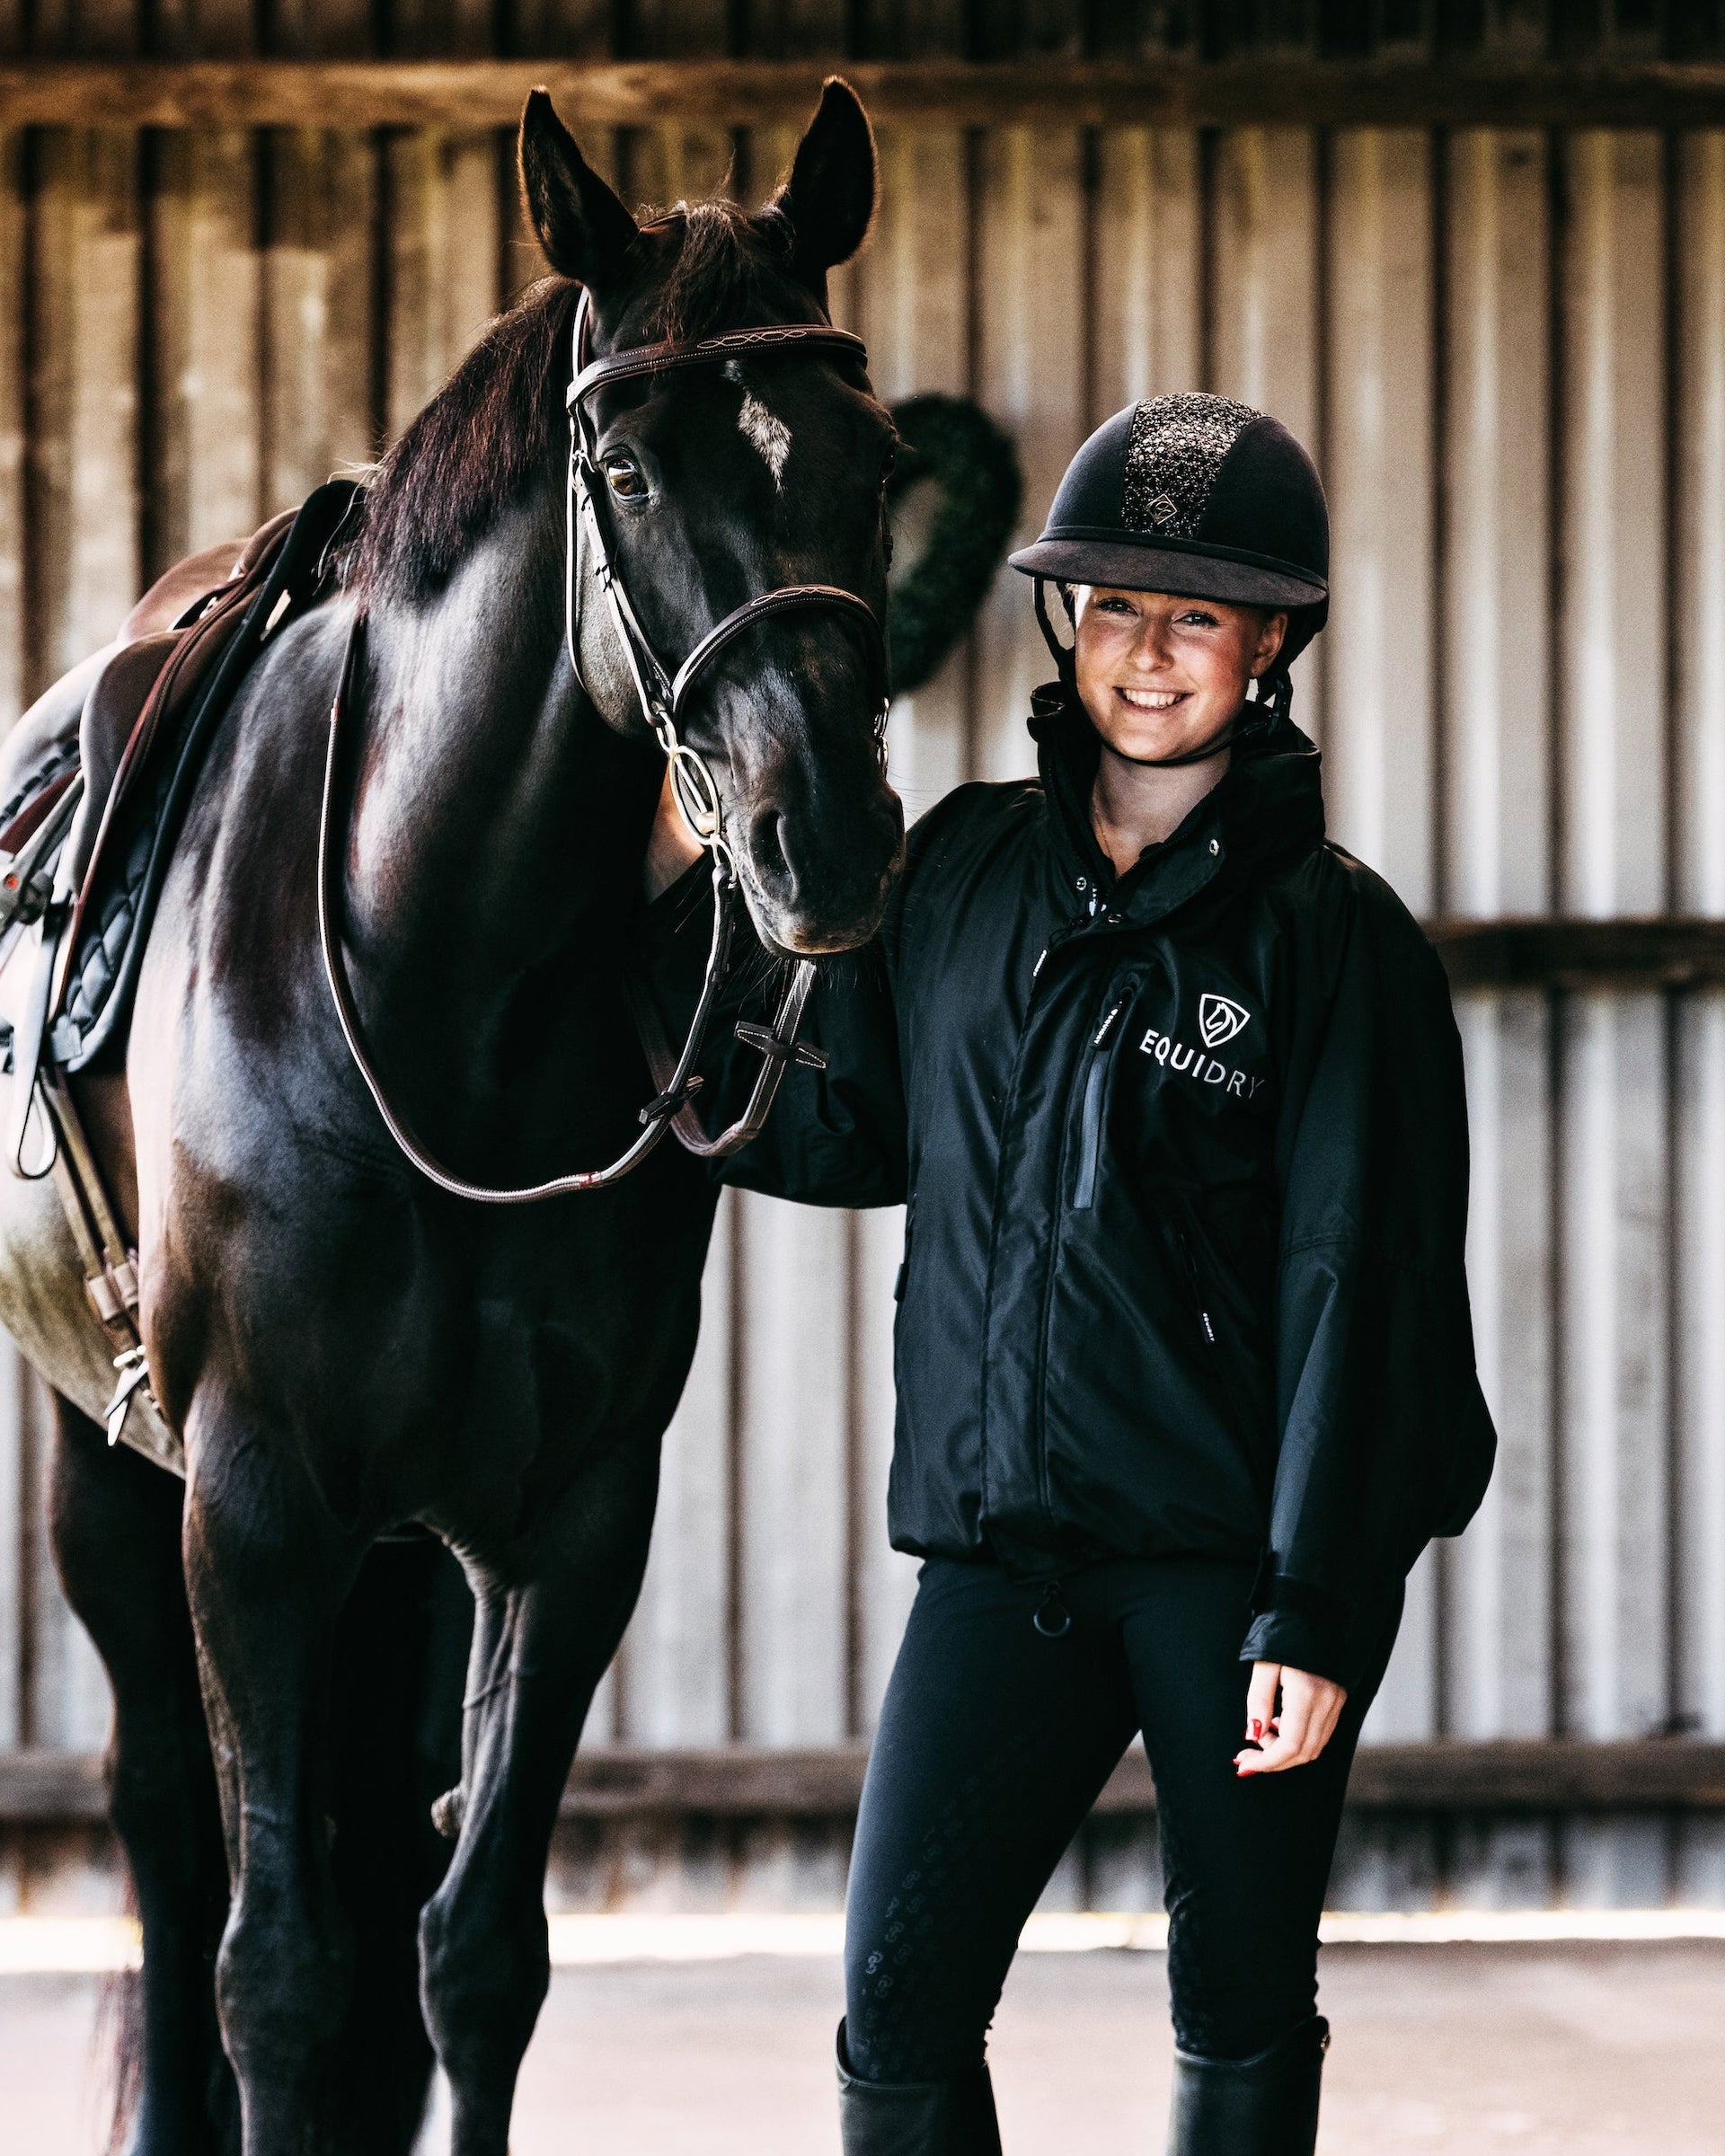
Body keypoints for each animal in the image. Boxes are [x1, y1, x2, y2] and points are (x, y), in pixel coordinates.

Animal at [4, 78, 903, 2155]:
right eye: (629, 474)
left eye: (876, 464)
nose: (824, 841)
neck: (435, 997)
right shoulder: (252, 1510)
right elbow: (272, 1967)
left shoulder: (566, 1527)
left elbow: (476, 1957)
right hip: (110, 1471)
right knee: (164, 1836)